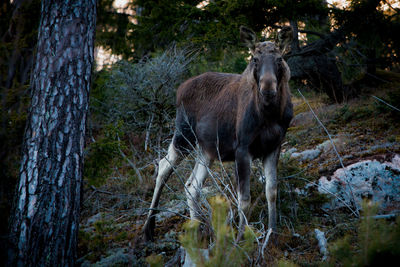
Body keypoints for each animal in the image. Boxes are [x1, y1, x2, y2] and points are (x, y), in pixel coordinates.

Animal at [144, 26, 294, 242]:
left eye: (280, 59)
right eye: (255, 59)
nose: (267, 87)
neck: (270, 114)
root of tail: (179, 89)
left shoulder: (274, 146)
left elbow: (271, 191)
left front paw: (272, 232)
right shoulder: (242, 149)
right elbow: (244, 198)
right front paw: (241, 237)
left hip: (206, 150)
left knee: (192, 186)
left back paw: (197, 231)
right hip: (184, 134)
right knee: (164, 166)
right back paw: (148, 229)